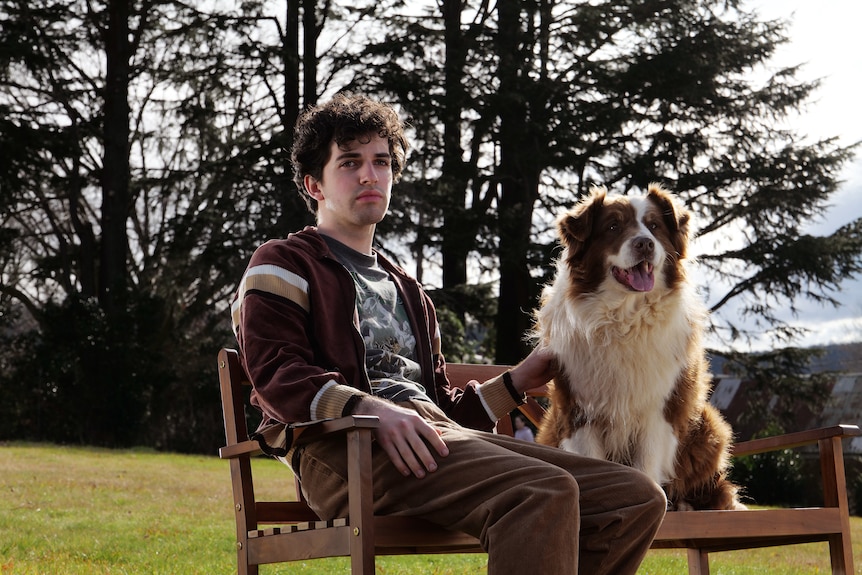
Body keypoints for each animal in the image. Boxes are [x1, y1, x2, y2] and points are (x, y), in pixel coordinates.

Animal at [532, 183, 744, 508]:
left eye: (654, 226)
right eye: (613, 226)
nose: (645, 244)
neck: (625, 319)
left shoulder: (659, 410)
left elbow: (647, 468)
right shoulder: (577, 410)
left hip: (709, 423)